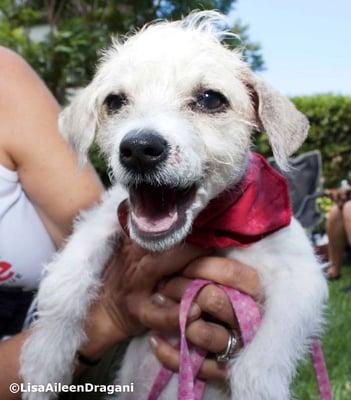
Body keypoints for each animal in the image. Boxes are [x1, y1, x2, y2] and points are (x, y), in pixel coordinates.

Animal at [20, 10, 330, 398]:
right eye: (114, 101)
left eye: (210, 99)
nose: (139, 149)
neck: (206, 229)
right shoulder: (104, 217)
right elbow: (64, 281)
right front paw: (45, 361)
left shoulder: (302, 276)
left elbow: (263, 358)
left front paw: (258, 388)